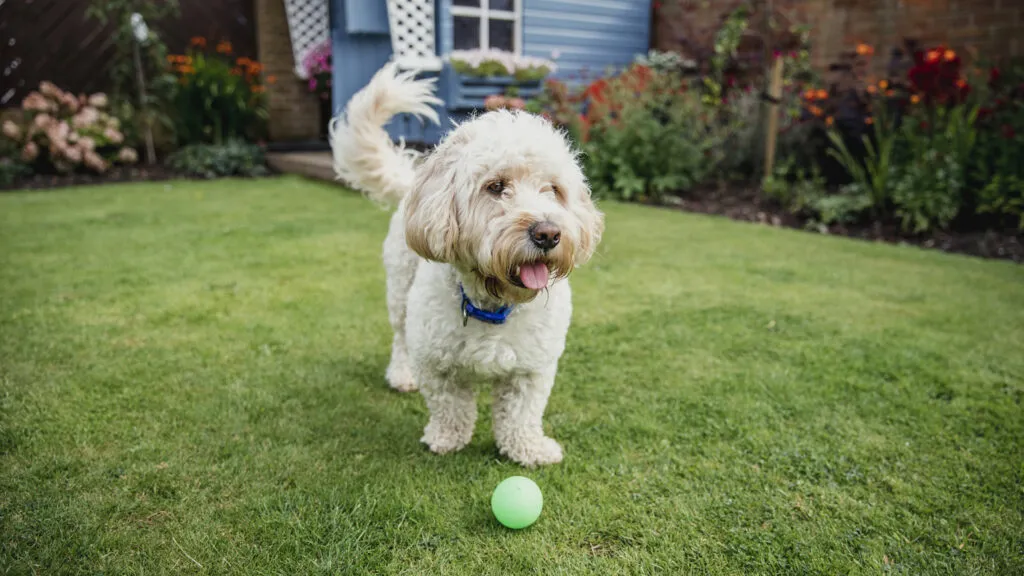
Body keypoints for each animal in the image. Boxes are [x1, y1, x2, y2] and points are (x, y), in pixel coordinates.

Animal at [327, 63, 602, 467]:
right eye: (495, 186)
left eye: (553, 189)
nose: (548, 233)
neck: (495, 304)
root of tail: (415, 182)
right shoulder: (436, 362)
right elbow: (450, 406)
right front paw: (446, 439)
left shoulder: (532, 369)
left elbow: (521, 414)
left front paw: (528, 448)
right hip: (400, 293)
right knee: (399, 338)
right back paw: (402, 374)